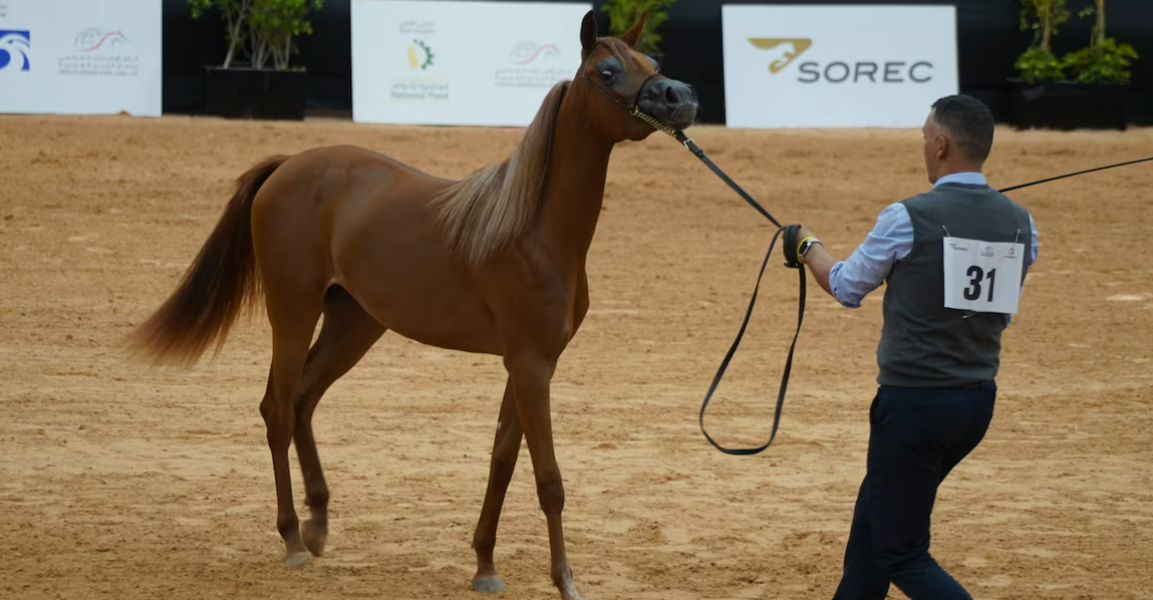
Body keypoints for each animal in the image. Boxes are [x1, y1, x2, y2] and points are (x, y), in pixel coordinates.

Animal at [128, 11, 697, 600]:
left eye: (652, 63)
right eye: (607, 72)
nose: (680, 97)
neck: (533, 231)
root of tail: (286, 168)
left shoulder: (530, 363)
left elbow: (502, 460)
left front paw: (485, 565)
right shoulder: (531, 365)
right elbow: (548, 480)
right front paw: (565, 581)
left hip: (353, 323)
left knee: (304, 401)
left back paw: (317, 524)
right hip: (293, 313)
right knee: (277, 410)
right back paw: (291, 540)